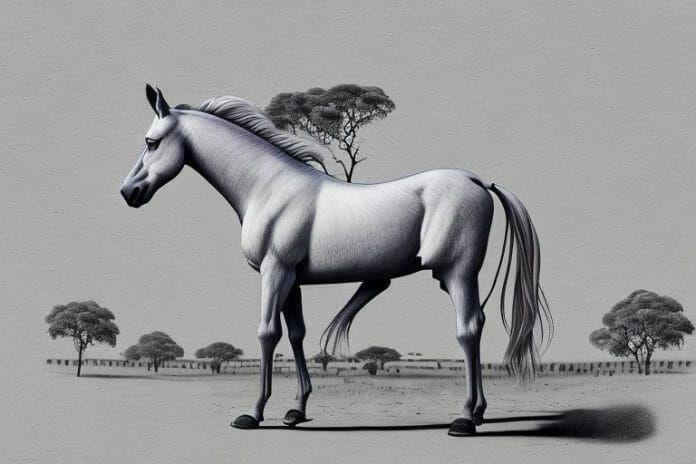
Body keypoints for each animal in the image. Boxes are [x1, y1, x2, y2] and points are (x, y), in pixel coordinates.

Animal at [121, 85, 552, 436]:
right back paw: (478, 412)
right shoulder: (291, 280)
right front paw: (296, 410)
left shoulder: (274, 273)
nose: (128, 192)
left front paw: (253, 413)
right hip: (459, 278)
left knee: (467, 330)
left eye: (151, 142)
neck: (269, 187)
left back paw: (463, 419)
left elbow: (266, 334)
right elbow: (296, 335)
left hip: (458, 273)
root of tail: (478, 181)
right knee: (477, 325)